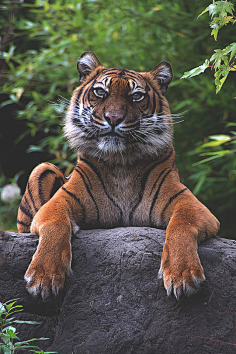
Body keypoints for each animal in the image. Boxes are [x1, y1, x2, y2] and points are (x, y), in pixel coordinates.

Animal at [16, 51, 219, 302]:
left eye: (136, 96)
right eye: (100, 92)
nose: (113, 118)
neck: (120, 163)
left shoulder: (189, 204)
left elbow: (181, 226)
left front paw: (183, 275)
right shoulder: (58, 203)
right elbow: (55, 226)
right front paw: (43, 276)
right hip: (43, 168)